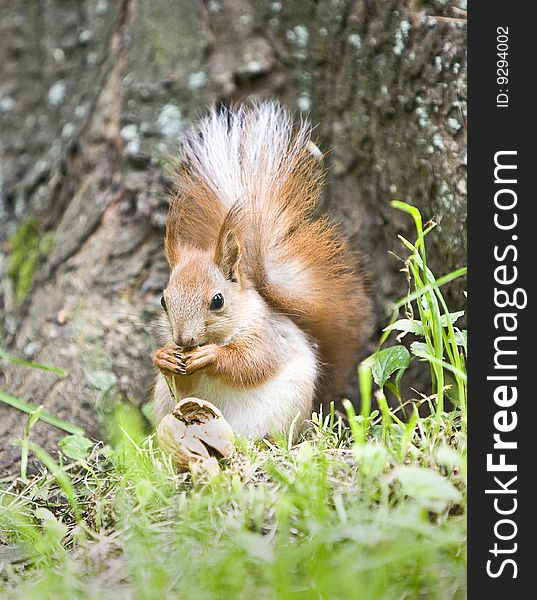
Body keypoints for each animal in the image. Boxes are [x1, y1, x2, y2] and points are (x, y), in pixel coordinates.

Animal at [153, 99, 370, 436]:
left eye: (218, 300)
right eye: (163, 300)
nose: (183, 341)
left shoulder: (267, 335)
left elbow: (252, 362)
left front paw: (212, 355)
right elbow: (182, 383)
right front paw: (163, 357)